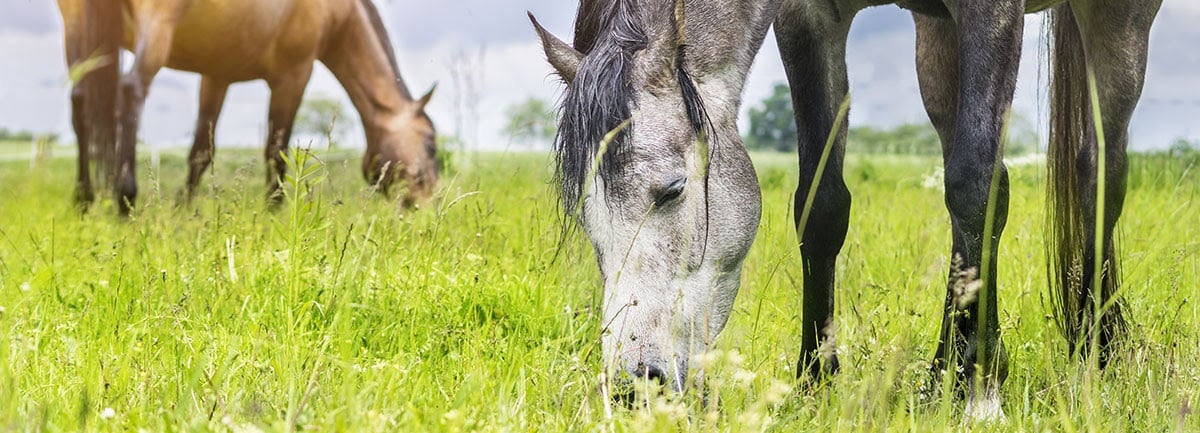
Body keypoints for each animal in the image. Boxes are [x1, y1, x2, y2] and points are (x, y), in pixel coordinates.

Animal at [56, 0, 439, 211]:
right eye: (431, 143)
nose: (428, 202)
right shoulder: (294, 75)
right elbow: (276, 151)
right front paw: (274, 208)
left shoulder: (216, 75)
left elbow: (201, 152)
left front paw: (183, 208)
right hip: (157, 24)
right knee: (131, 89)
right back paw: (125, 199)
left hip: (78, 27)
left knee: (80, 100)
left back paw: (84, 198)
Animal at [530, 0, 1156, 419]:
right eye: (587, 218)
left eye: (673, 189)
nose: (635, 387)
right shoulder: (810, 18)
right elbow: (821, 204)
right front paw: (815, 382)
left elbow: (975, 188)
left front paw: (980, 395)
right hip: (938, 36)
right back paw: (941, 377)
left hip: (1120, 21)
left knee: (1097, 173)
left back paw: (1096, 353)